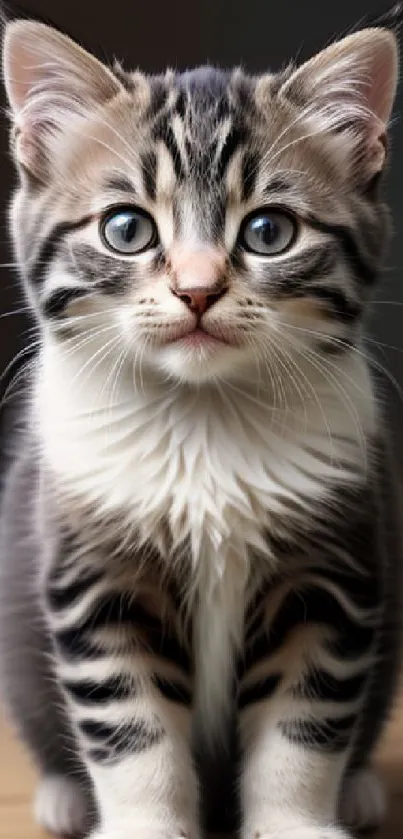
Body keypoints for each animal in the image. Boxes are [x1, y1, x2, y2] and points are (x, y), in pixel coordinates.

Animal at [0, 16, 403, 839]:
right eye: (126, 228)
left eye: (269, 231)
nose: (196, 290)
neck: (202, 417)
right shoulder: (96, 576)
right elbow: (130, 725)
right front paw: (143, 824)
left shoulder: (329, 575)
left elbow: (304, 722)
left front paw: (295, 822)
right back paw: (62, 795)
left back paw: (357, 791)